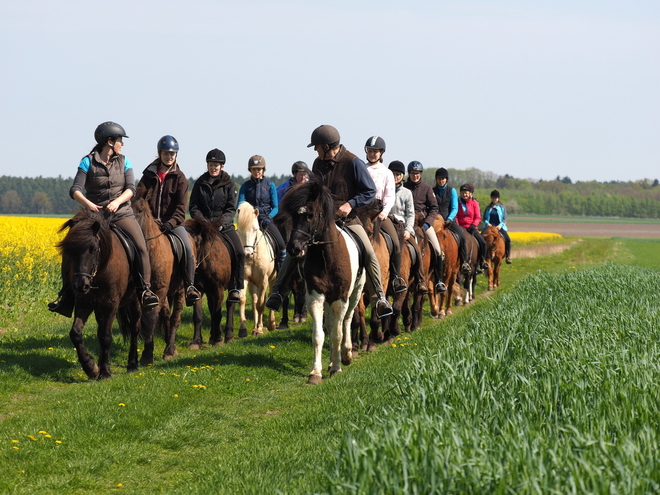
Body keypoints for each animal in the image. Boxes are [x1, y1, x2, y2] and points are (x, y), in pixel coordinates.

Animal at [55, 209, 151, 380]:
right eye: (69, 250)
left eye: (93, 248)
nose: (81, 285)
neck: (99, 271)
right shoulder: (84, 303)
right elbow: (76, 333)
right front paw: (91, 367)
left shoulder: (110, 304)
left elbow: (106, 336)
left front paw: (105, 372)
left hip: (134, 301)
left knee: (135, 329)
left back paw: (132, 365)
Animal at [131, 196, 187, 362]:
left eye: (140, 210)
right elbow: (141, 319)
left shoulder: (160, 289)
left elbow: (150, 317)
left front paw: (147, 354)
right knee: (167, 314)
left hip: (181, 290)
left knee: (175, 317)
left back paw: (170, 349)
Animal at [183, 217, 240, 348]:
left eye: (196, 243)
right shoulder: (198, 290)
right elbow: (198, 316)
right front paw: (196, 342)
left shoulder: (218, 290)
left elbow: (217, 315)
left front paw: (218, 339)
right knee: (211, 306)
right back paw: (212, 336)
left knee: (230, 304)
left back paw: (228, 335)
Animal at [236, 202, 278, 338]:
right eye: (240, 231)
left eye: (255, 229)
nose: (247, 254)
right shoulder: (244, 279)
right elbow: (243, 300)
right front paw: (243, 330)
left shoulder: (263, 280)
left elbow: (261, 304)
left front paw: (259, 329)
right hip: (253, 283)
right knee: (254, 301)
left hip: (272, 279)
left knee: (269, 296)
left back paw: (271, 324)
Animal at [278, 180, 366, 386]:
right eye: (294, 216)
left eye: (310, 215)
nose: (294, 248)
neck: (327, 256)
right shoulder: (315, 297)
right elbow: (319, 335)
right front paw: (316, 373)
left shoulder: (341, 298)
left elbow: (337, 334)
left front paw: (337, 367)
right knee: (332, 324)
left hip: (355, 293)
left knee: (347, 320)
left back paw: (346, 355)